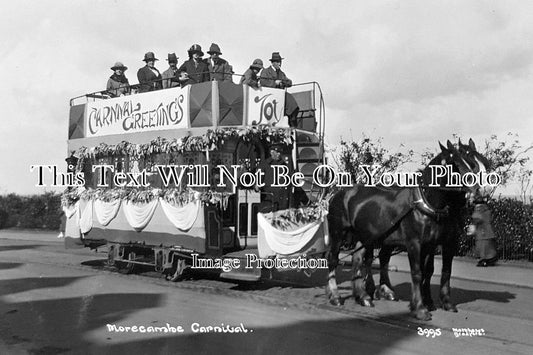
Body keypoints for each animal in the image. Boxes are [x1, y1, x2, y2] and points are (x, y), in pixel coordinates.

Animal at [324, 141, 482, 320]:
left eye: (473, 164)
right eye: (455, 163)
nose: (477, 193)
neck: (426, 204)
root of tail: (339, 194)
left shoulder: (432, 244)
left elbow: (433, 272)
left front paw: (435, 303)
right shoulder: (414, 243)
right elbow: (417, 273)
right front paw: (420, 308)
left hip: (364, 236)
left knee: (359, 259)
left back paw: (363, 296)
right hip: (338, 233)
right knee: (333, 260)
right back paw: (335, 296)